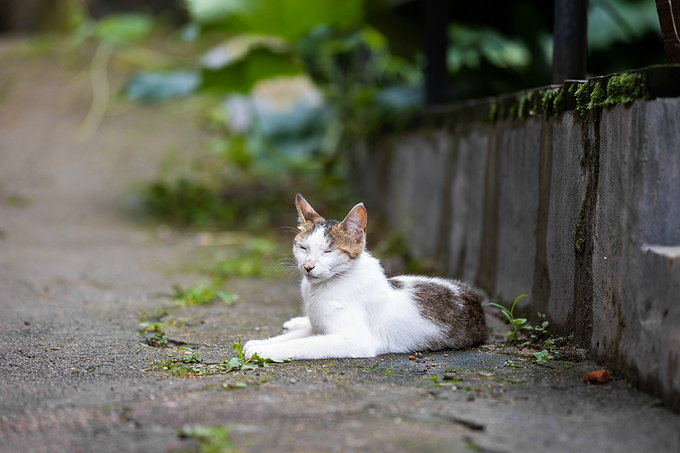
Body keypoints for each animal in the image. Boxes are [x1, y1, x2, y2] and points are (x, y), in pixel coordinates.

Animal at [244, 194, 488, 360]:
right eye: (303, 248)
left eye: (328, 251)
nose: (308, 266)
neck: (320, 288)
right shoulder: (318, 327)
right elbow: (300, 336)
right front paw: (260, 343)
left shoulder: (356, 340)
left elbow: (305, 344)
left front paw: (263, 350)